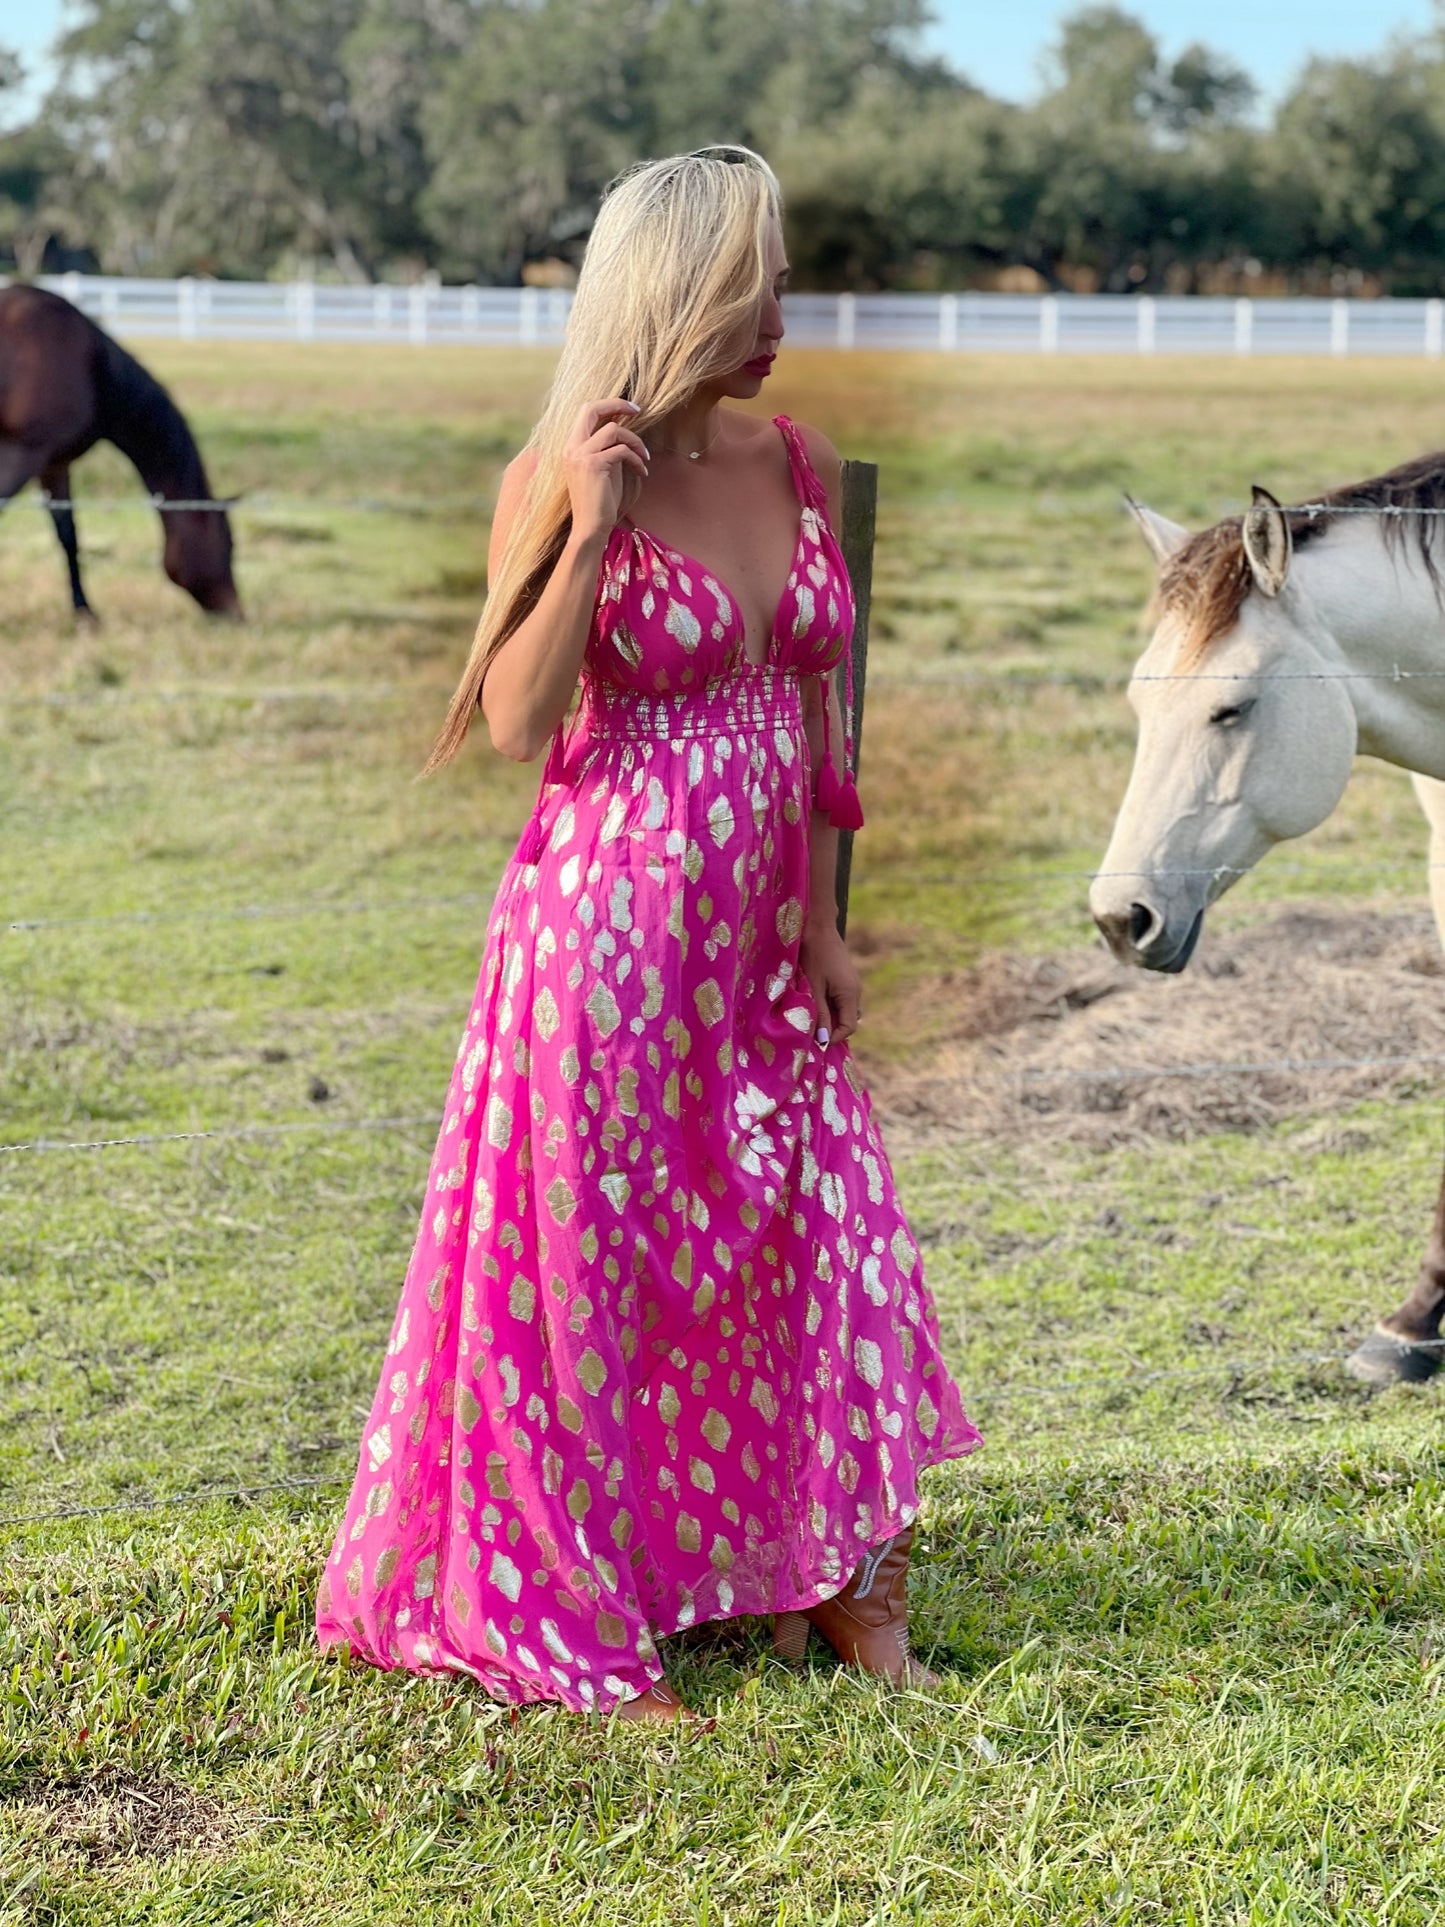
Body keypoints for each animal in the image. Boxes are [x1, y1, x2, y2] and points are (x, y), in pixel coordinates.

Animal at [0, 281, 240, 616]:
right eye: (230, 545)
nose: (237, 611)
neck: (92, 368)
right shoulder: (21, 455)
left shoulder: (54, 463)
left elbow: (68, 534)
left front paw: (84, 611)